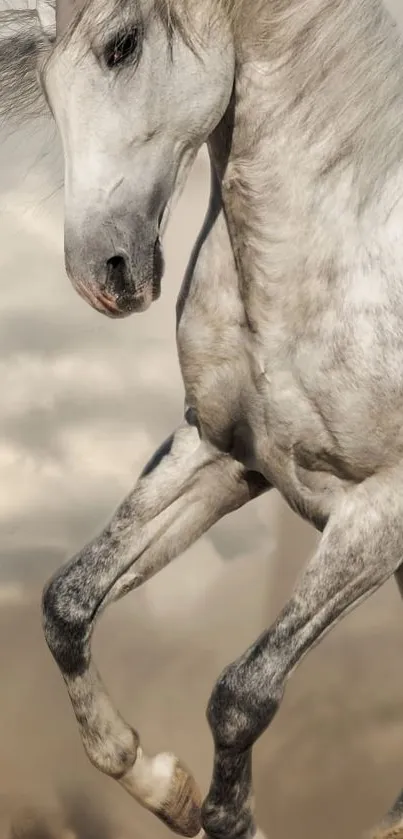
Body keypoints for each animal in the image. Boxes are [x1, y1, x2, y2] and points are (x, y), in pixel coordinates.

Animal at [0, 0, 403, 836]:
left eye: (122, 45)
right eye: (42, 79)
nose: (102, 274)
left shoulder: (380, 512)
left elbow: (242, 692)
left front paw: (225, 814)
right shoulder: (221, 455)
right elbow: (68, 603)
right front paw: (159, 780)